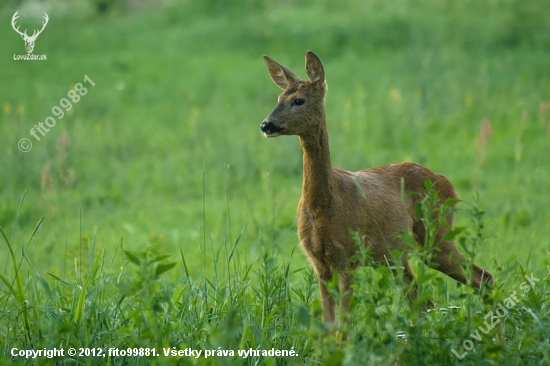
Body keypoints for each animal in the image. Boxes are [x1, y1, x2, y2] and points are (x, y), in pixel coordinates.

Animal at [260, 50, 496, 324]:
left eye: (298, 100)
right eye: (279, 98)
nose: (266, 125)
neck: (323, 205)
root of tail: (447, 183)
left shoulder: (349, 257)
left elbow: (343, 325)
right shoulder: (319, 264)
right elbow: (328, 325)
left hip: (436, 234)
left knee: (484, 278)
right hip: (396, 255)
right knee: (423, 301)